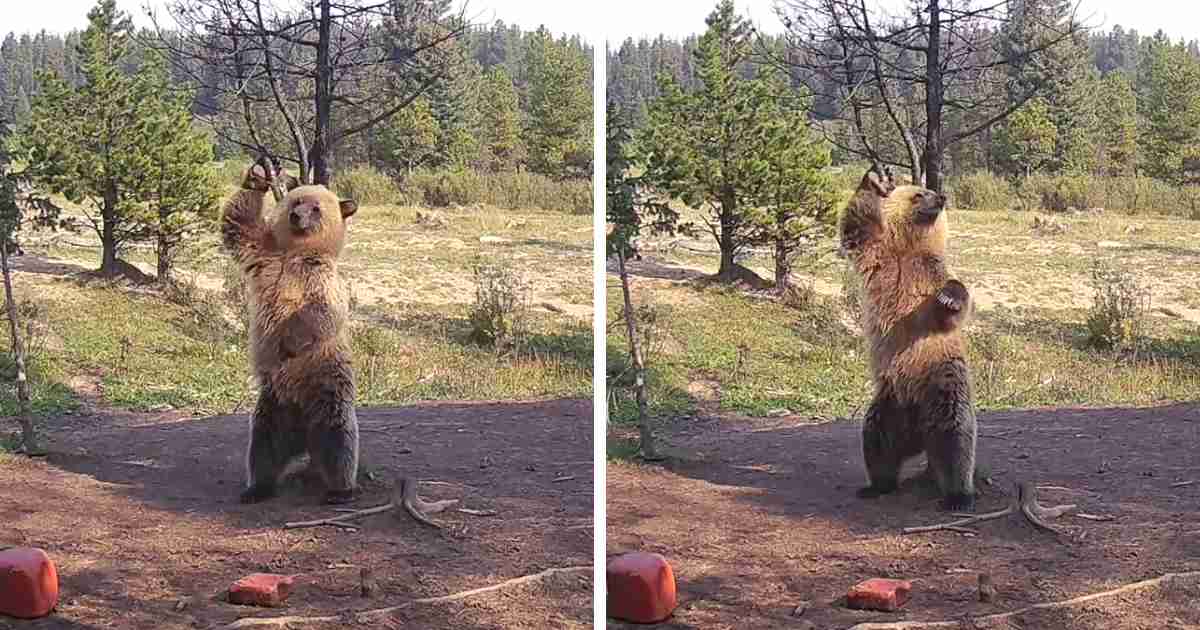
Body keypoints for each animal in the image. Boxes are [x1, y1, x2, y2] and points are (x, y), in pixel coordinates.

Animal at [221, 156, 361, 505]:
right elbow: (237, 222)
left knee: (339, 439)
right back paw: (256, 488)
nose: (298, 216)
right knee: (264, 447)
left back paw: (340, 490)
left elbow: (319, 313)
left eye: (317, 208)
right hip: (274, 406)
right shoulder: (264, 255)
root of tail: (303, 438)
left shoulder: (322, 282)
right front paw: (258, 175)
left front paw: (289, 341)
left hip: (326, 389)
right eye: (297, 201)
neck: (297, 253)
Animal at [839, 171, 977, 512]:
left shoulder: (931, 274)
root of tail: (918, 434)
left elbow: (953, 302)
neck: (907, 248)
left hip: (942, 382)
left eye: (930, 192)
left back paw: (958, 495)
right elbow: (854, 226)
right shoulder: (877, 256)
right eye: (919, 193)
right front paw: (875, 180)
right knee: (877, 438)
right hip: (890, 403)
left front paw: (950, 299)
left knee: (955, 436)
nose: (941, 196)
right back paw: (877, 485)